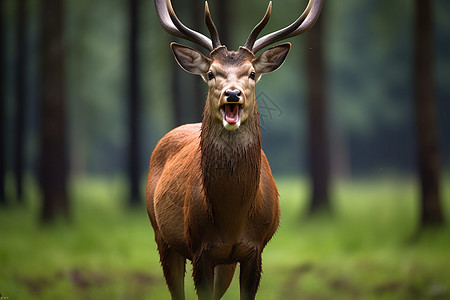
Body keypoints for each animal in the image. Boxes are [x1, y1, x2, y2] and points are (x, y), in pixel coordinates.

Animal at [147, 0, 324, 298]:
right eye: (210, 73)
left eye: (252, 73)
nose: (232, 94)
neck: (232, 221)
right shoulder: (199, 250)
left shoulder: (255, 250)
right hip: (162, 235)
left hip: (224, 263)